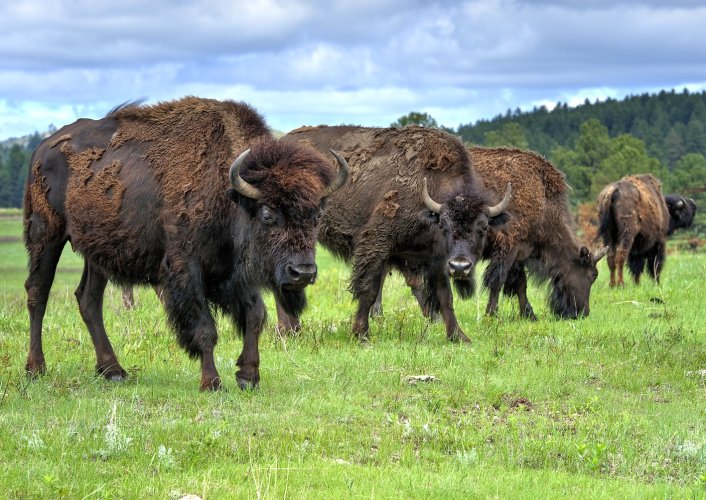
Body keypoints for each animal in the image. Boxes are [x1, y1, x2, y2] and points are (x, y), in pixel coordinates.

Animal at [272, 125, 508, 344]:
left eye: (483, 227)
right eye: (445, 225)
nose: (460, 266)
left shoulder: (438, 259)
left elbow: (445, 296)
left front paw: (459, 337)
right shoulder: (377, 243)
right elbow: (368, 290)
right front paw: (361, 334)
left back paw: (292, 330)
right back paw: (287, 331)